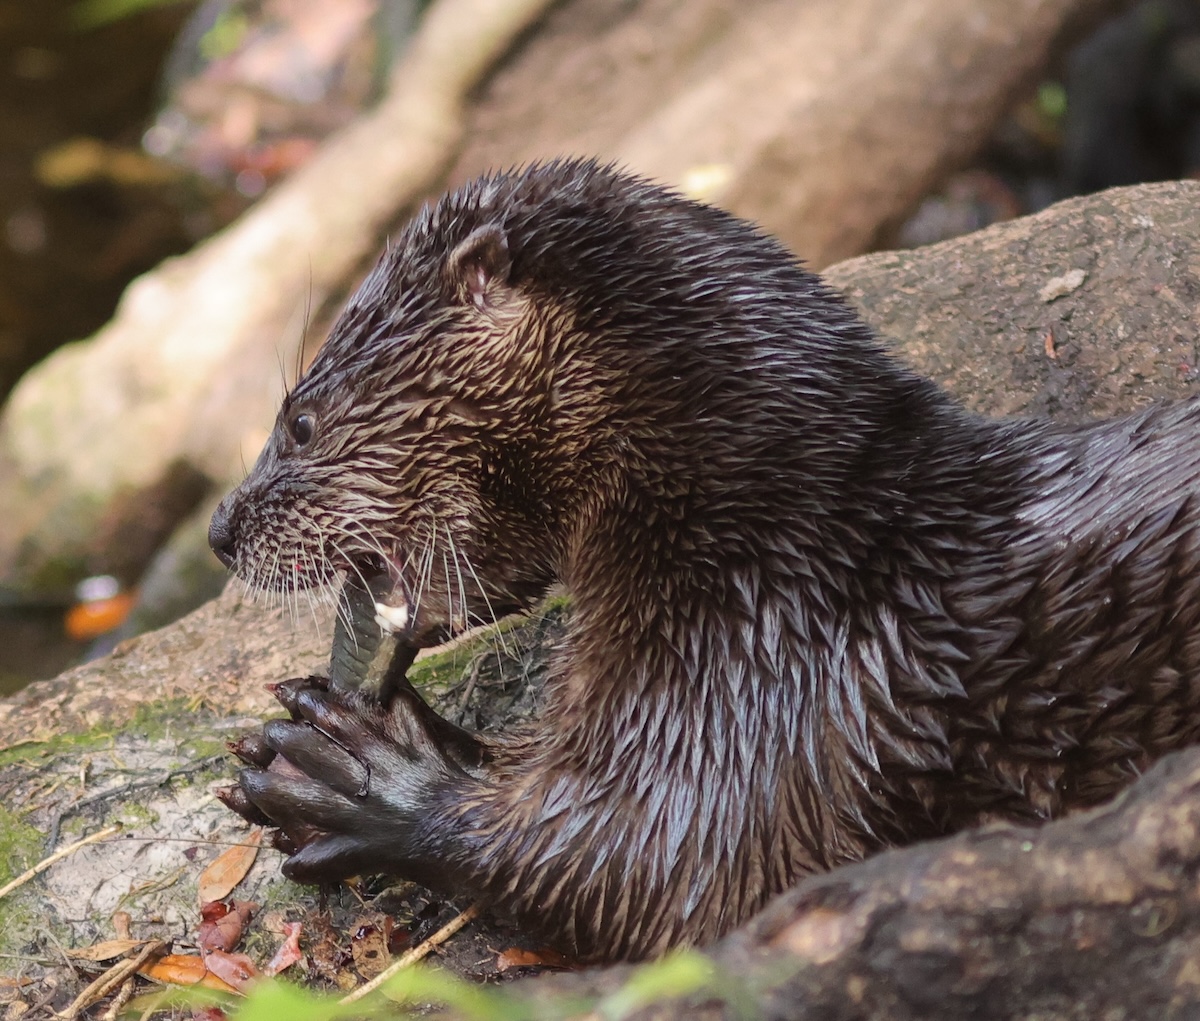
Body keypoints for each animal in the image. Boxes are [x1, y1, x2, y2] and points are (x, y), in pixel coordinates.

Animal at [210, 159, 1200, 962]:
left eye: (299, 421)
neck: (768, 538)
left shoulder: (753, 695)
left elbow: (643, 868)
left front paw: (352, 770)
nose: (220, 527)